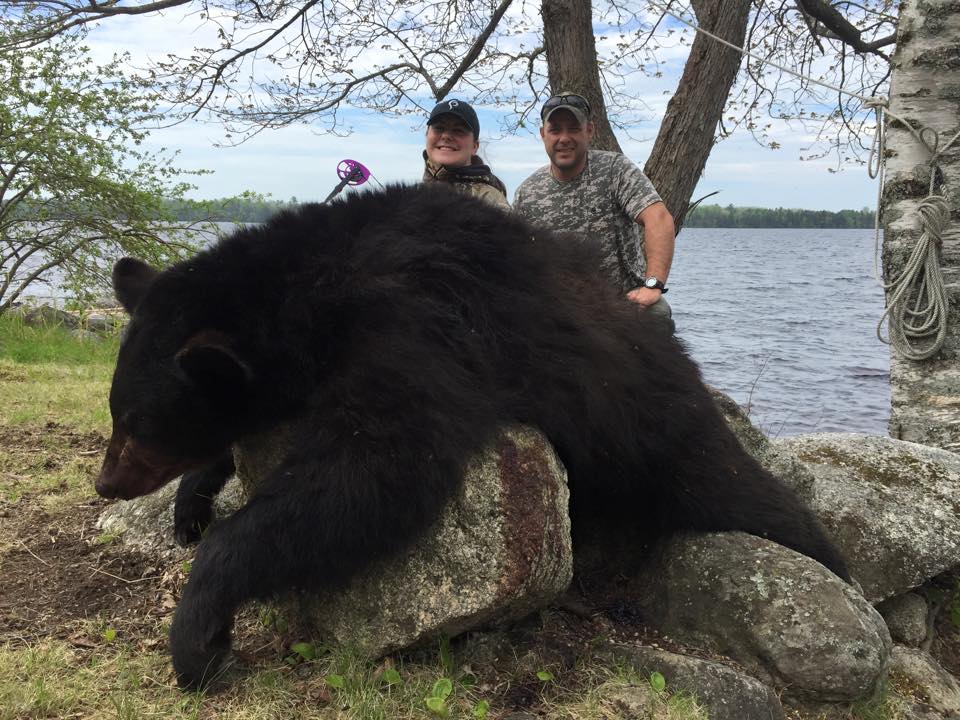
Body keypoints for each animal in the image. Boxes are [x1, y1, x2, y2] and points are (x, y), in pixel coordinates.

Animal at [96, 183, 850, 689]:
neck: (303, 291)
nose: (106, 482)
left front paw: (198, 633)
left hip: (652, 426)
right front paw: (191, 503)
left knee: (739, 492)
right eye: (115, 412)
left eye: (138, 423)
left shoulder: (412, 319)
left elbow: (377, 470)